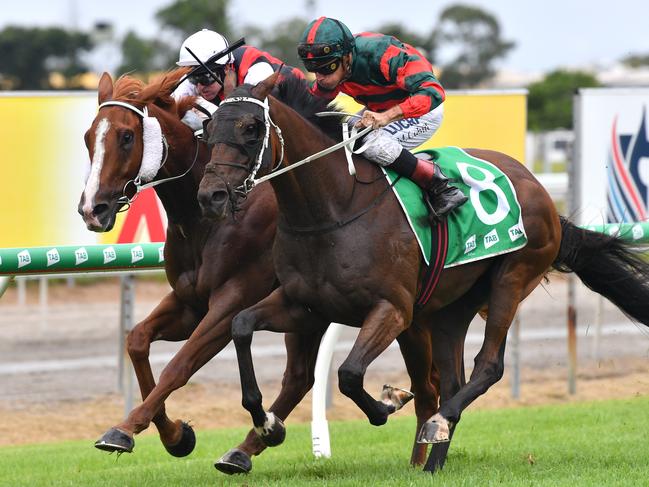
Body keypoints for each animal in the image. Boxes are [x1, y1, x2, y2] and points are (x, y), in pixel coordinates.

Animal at [197, 74, 649, 474]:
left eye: (251, 128)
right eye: (208, 127)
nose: (211, 196)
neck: (334, 208)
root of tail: (540, 190)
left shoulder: (393, 309)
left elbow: (348, 374)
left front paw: (388, 402)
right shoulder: (304, 305)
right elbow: (240, 325)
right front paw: (267, 425)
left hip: (512, 278)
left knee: (488, 366)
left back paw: (437, 425)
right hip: (450, 310)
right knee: (452, 380)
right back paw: (433, 459)